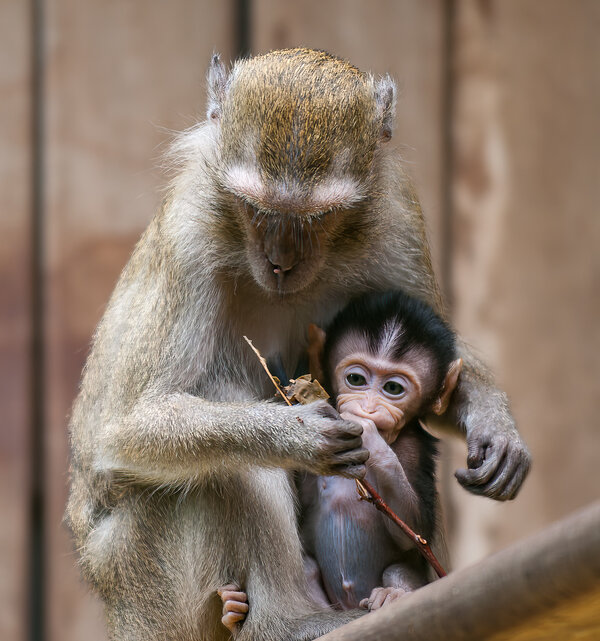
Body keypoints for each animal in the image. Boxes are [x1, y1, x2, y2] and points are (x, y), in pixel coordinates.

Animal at [223, 290, 462, 632]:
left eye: (393, 388)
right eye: (356, 379)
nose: (368, 408)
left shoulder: (414, 448)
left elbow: (414, 532)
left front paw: (372, 437)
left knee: (397, 570)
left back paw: (391, 596)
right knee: (307, 568)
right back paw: (235, 611)